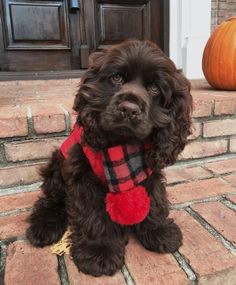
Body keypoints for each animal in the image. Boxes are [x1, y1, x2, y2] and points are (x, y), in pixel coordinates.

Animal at [26, 39, 192, 276]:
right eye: (116, 78)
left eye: (154, 88)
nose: (129, 109)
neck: (123, 148)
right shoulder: (83, 175)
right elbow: (94, 214)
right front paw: (99, 252)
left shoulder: (149, 171)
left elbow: (155, 199)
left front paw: (159, 231)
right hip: (57, 165)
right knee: (51, 200)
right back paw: (43, 227)